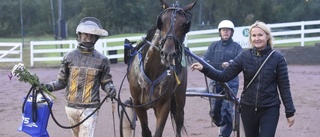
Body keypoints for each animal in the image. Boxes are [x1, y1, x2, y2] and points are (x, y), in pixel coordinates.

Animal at [125, 0, 196, 136]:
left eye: (184, 25)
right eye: (162, 21)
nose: (168, 53)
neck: (152, 70)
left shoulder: (163, 105)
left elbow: (158, 132)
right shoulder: (138, 104)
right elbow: (146, 131)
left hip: (180, 96)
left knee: (179, 121)